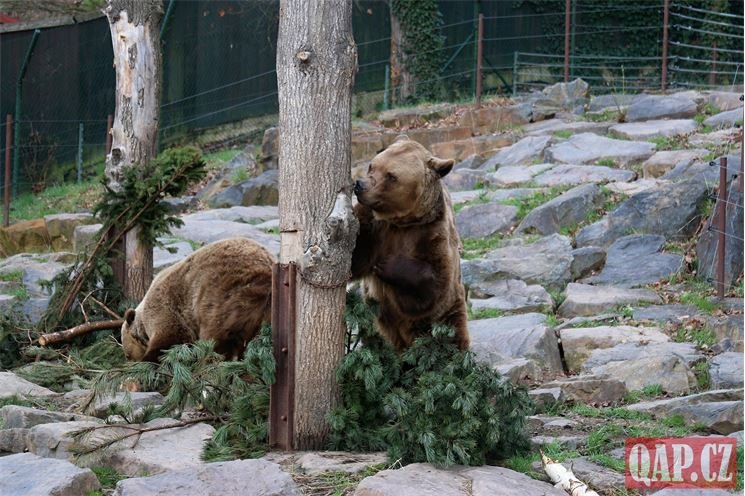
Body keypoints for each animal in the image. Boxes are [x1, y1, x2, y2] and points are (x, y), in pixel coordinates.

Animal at [120, 236, 274, 360]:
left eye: (127, 354)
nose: (129, 359)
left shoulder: (165, 307)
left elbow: (172, 338)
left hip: (221, 294)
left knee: (216, 336)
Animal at [350, 136, 468, 350]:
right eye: (372, 165)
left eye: (391, 176)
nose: (360, 185)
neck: (402, 222)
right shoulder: (375, 229)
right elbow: (356, 257)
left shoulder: (430, 233)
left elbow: (434, 282)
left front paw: (386, 265)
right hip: (374, 327)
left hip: (449, 314)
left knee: (453, 336)